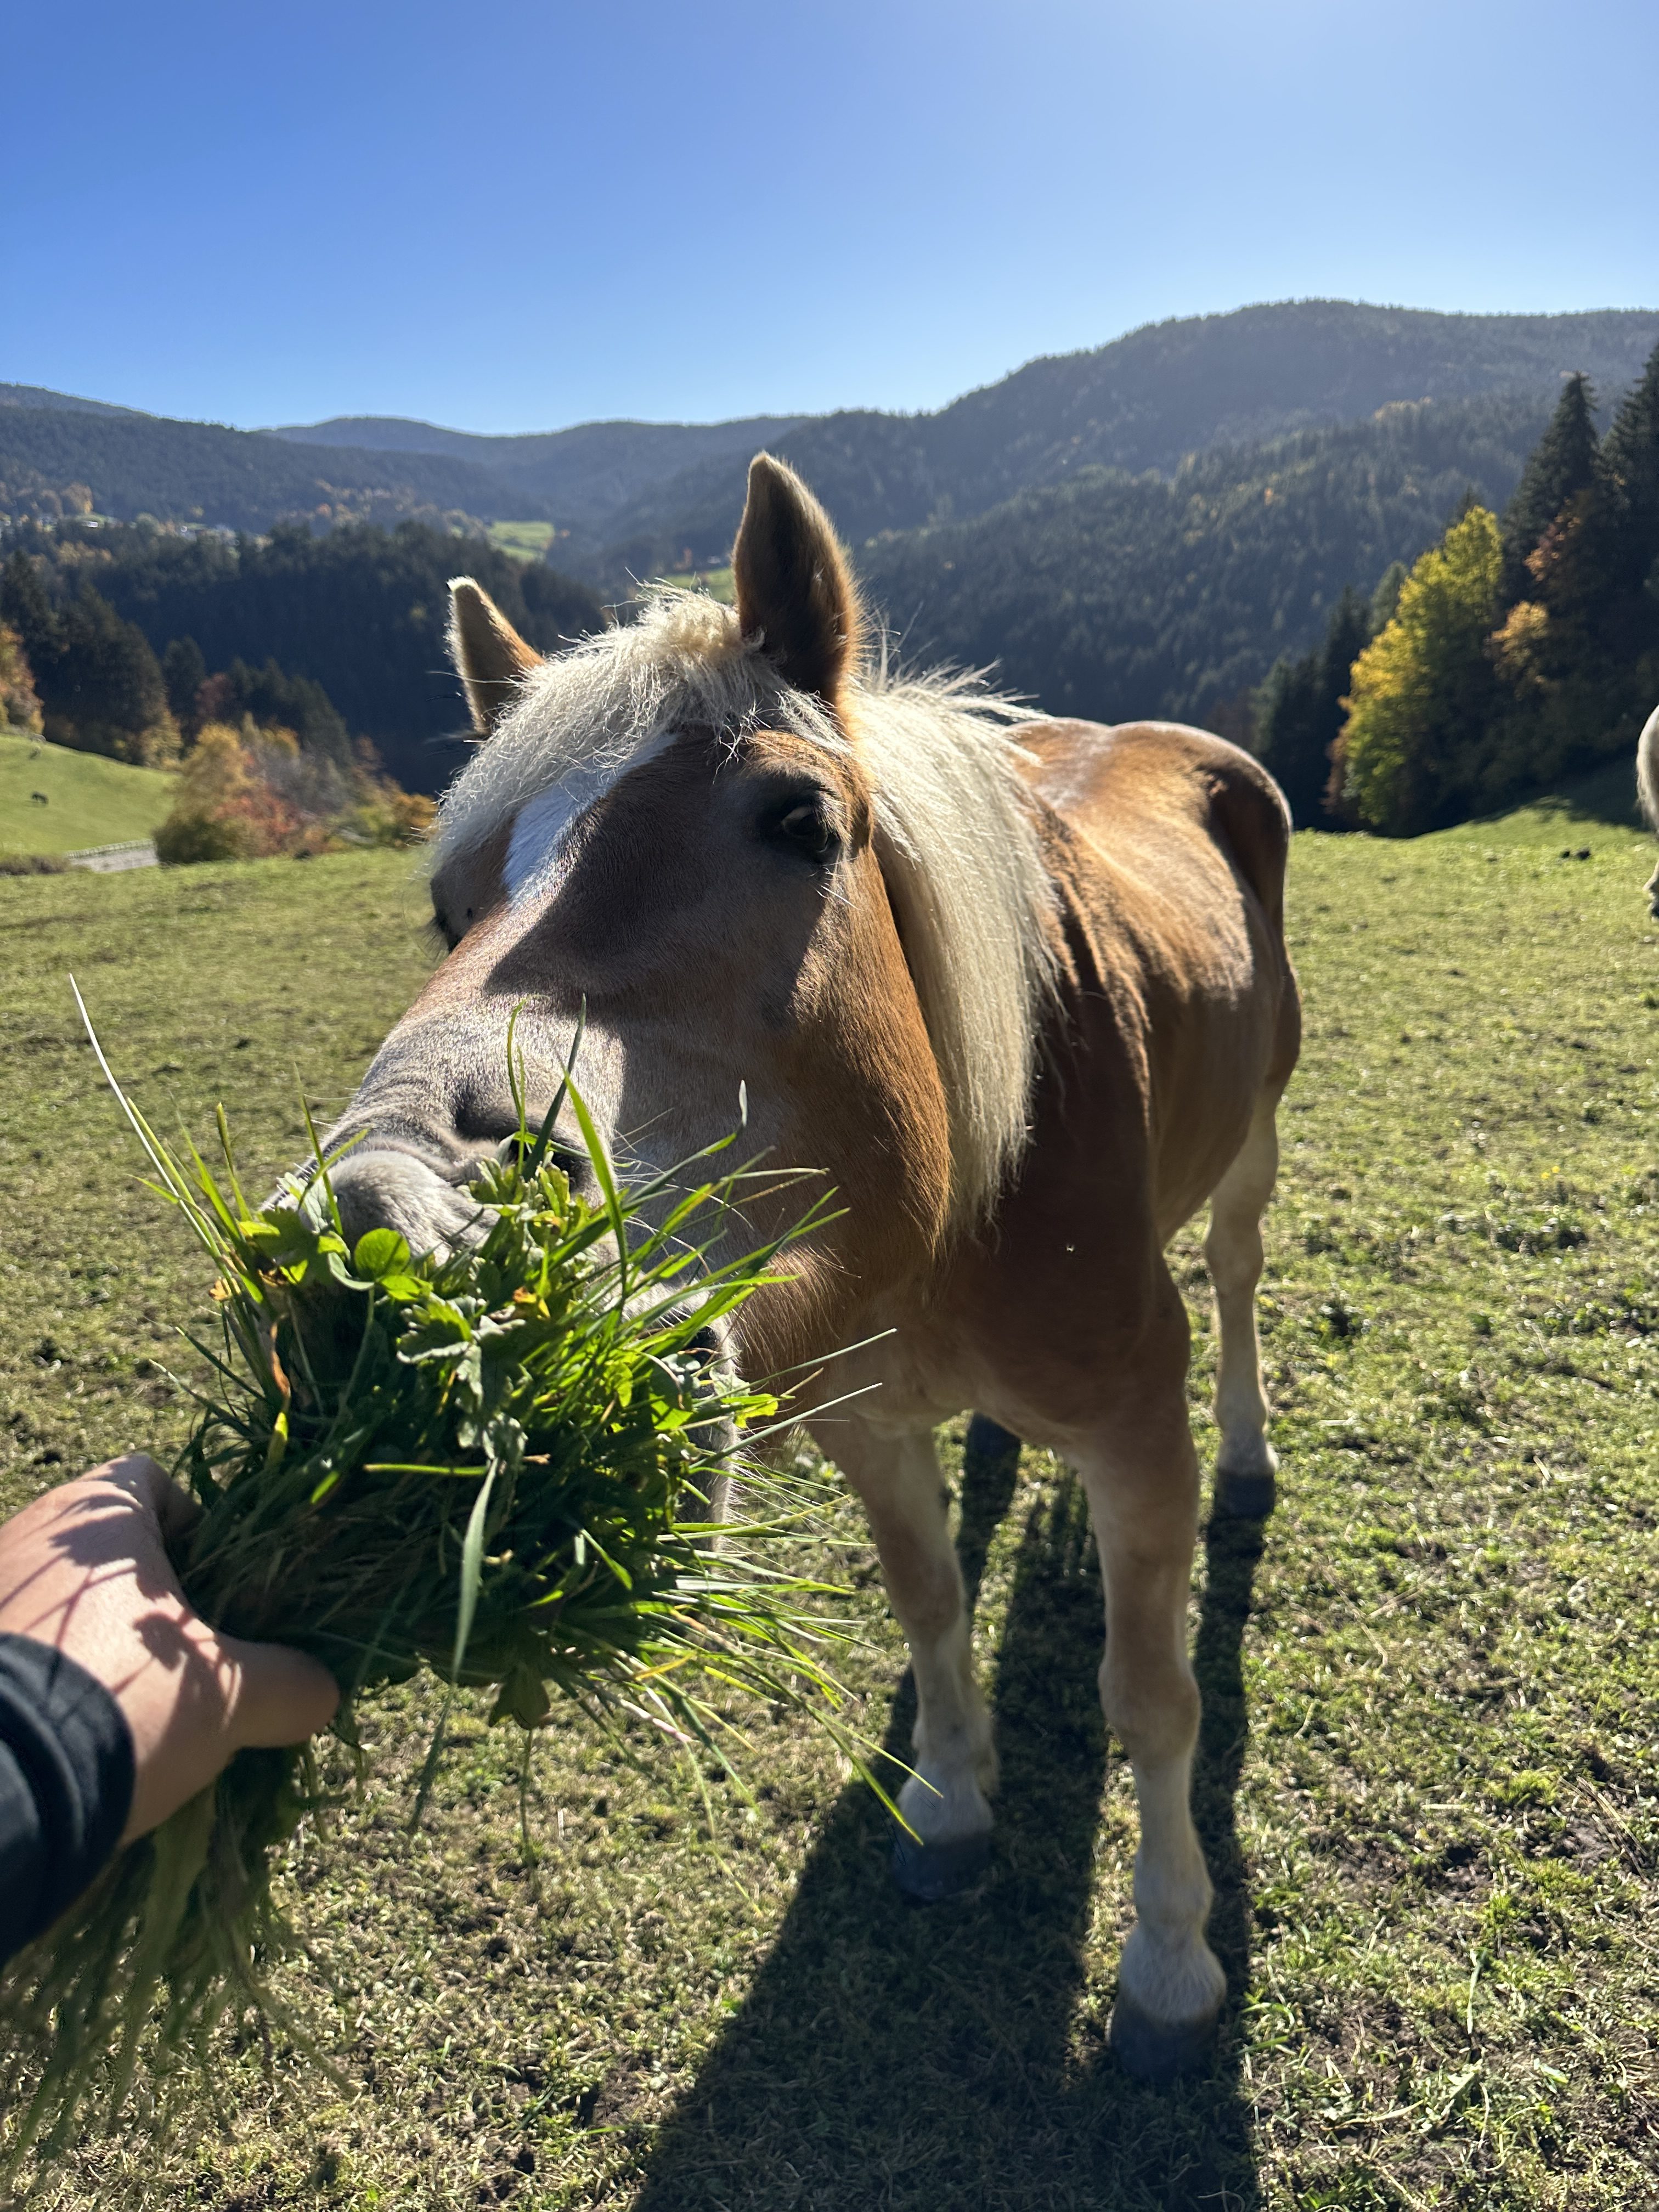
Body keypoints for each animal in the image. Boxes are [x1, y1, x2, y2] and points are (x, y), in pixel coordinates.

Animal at [319, 454, 1301, 2082]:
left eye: (797, 820)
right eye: (452, 906)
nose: (385, 1205)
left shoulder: (1133, 1435)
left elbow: (1152, 1702)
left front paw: (1171, 1964)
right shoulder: (867, 1420)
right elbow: (929, 1600)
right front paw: (952, 1806)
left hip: (1254, 1149)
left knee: (1233, 1275)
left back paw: (1251, 1452)